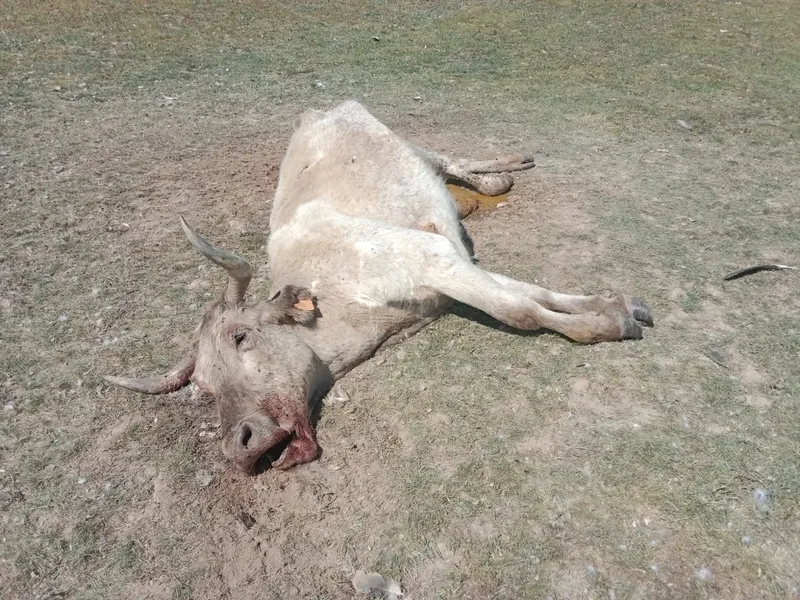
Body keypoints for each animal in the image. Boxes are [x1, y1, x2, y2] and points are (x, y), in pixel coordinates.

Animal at [105, 101, 653, 473]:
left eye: (242, 336)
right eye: (205, 387)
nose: (237, 444)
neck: (344, 306)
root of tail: (317, 111)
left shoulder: (428, 257)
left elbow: (519, 310)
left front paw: (608, 323)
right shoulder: (446, 269)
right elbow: (530, 295)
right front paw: (616, 306)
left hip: (412, 145)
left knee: (449, 160)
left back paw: (505, 170)